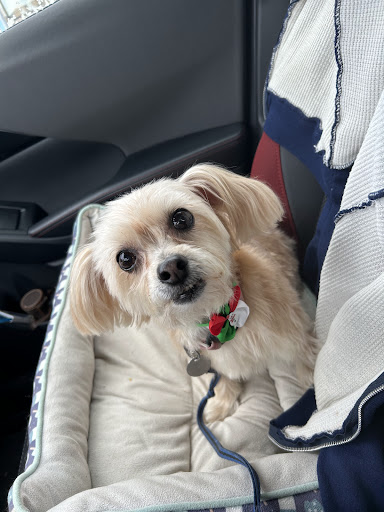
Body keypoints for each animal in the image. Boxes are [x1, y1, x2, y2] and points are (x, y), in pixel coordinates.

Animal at [70, 166, 318, 422]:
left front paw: (312, 384)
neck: (216, 319)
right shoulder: (213, 363)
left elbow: (306, 354)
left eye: (181, 218)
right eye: (125, 259)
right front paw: (222, 402)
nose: (171, 269)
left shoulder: (295, 332)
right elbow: (226, 378)